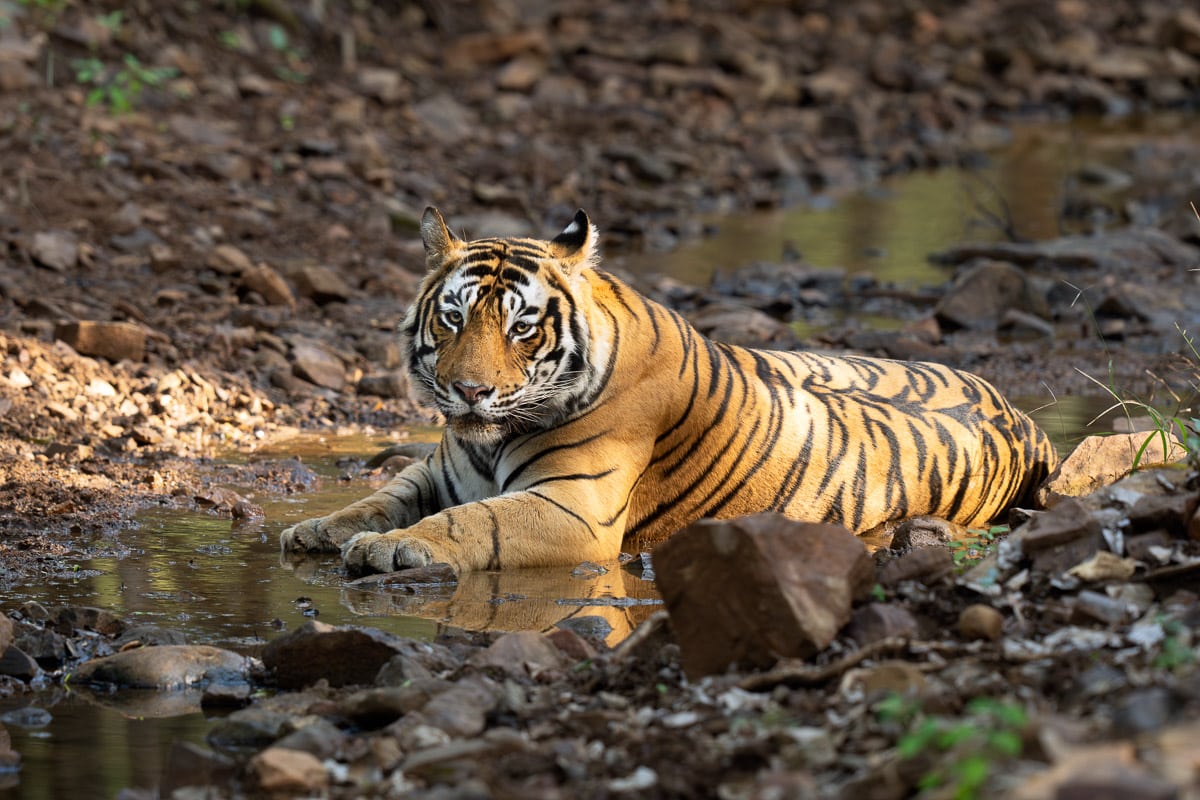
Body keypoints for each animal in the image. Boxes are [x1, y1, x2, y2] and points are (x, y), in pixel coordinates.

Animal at [283, 206, 1060, 575]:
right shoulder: (436, 470)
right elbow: (380, 496)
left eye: (522, 327)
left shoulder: (574, 507)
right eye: (453, 318)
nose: (468, 391)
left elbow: (473, 522)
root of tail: (1021, 414)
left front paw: (395, 549)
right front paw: (319, 529)